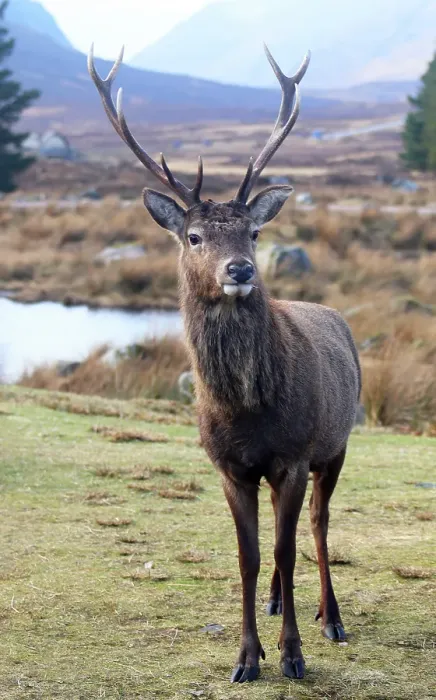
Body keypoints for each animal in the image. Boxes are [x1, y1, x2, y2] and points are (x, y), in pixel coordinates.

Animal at [88, 43, 361, 683]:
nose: (239, 269)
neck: (245, 411)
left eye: (255, 231)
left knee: (319, 525)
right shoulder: (228, 466)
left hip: (336, 445)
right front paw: (246, 657)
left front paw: (291, 655)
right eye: (192, 236)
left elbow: (284, 548)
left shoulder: (292, 455)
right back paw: (278, 602)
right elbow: (249, 555)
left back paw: (331, 619)